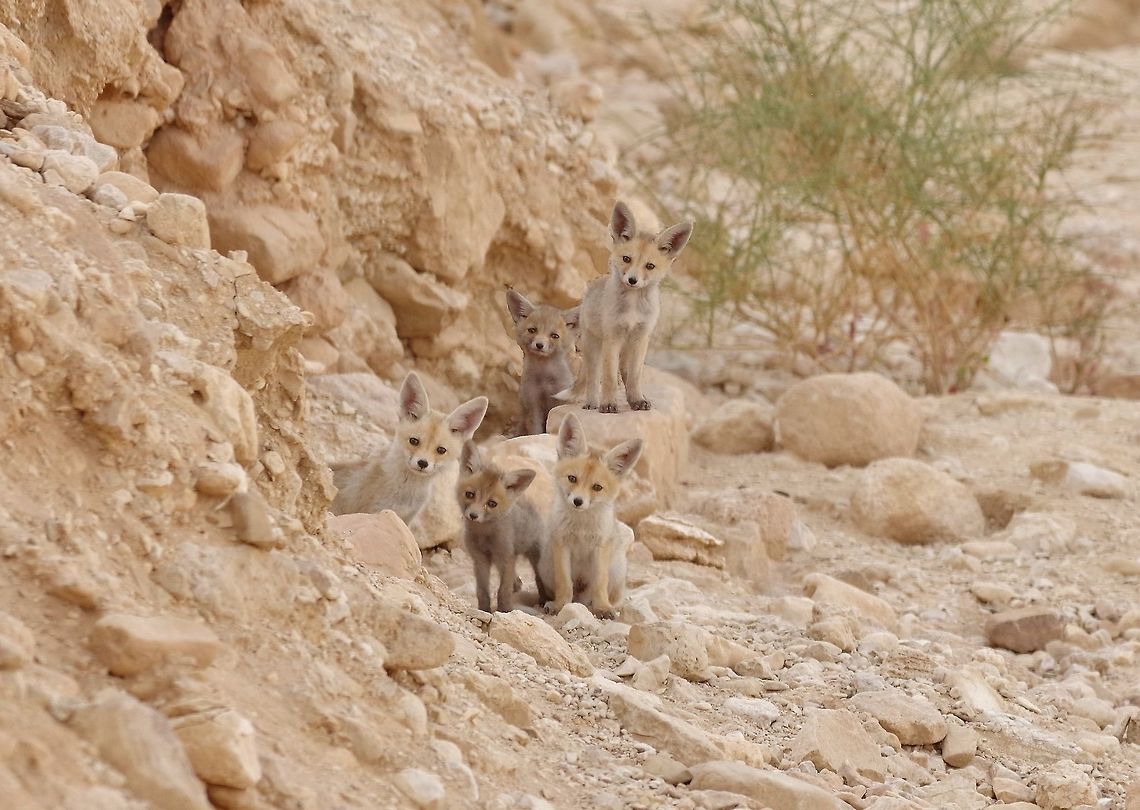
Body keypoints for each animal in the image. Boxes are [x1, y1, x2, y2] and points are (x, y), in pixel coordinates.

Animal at [331, 372, 488, 525]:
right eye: (414, 441)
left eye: (441, 450)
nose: (423, 463)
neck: (408, 493)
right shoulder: (376, 512)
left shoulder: (406, 518)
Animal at [456, 441, 549, 613]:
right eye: (470, 494)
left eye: (492, 503)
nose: (473, 515)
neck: (484, 535)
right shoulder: (480, 559)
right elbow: (482, 590)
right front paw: (484, 610)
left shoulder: (506, 556)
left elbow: (503, 590)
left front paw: (505, 610)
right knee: (516, 580)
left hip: (534, 557)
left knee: (539, 578)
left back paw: (543, 599)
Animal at [506, 289, 579, 436]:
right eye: (532, 330)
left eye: (554, 336)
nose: (539, 345)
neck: (545, 379)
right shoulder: (533, 404)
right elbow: (536, 431)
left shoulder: (560, 402)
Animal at [538, 413, 642, 619]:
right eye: (572, 478)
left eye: (597, 487)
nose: (578, 501)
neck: (581, 526)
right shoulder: (562, 543)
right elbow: (564, 583)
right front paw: (560, 605)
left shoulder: (600, 546)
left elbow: (600, 583)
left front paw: (602, 608)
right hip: (545, 566)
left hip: (617, 568)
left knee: (605, 594)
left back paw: (610, 606)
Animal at [561, 201, 693, 413]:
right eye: (626, 259)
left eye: (650, 266)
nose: (632, 280)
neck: (632, 308)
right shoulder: (612, 337)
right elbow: (608, 378)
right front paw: (608, 404)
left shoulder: (641, 338)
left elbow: (634, 377)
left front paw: (637, 399)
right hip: (594, 348)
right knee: (592, 378)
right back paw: (592, 402)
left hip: (627, 348)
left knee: (624, 373)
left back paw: (633, 400)